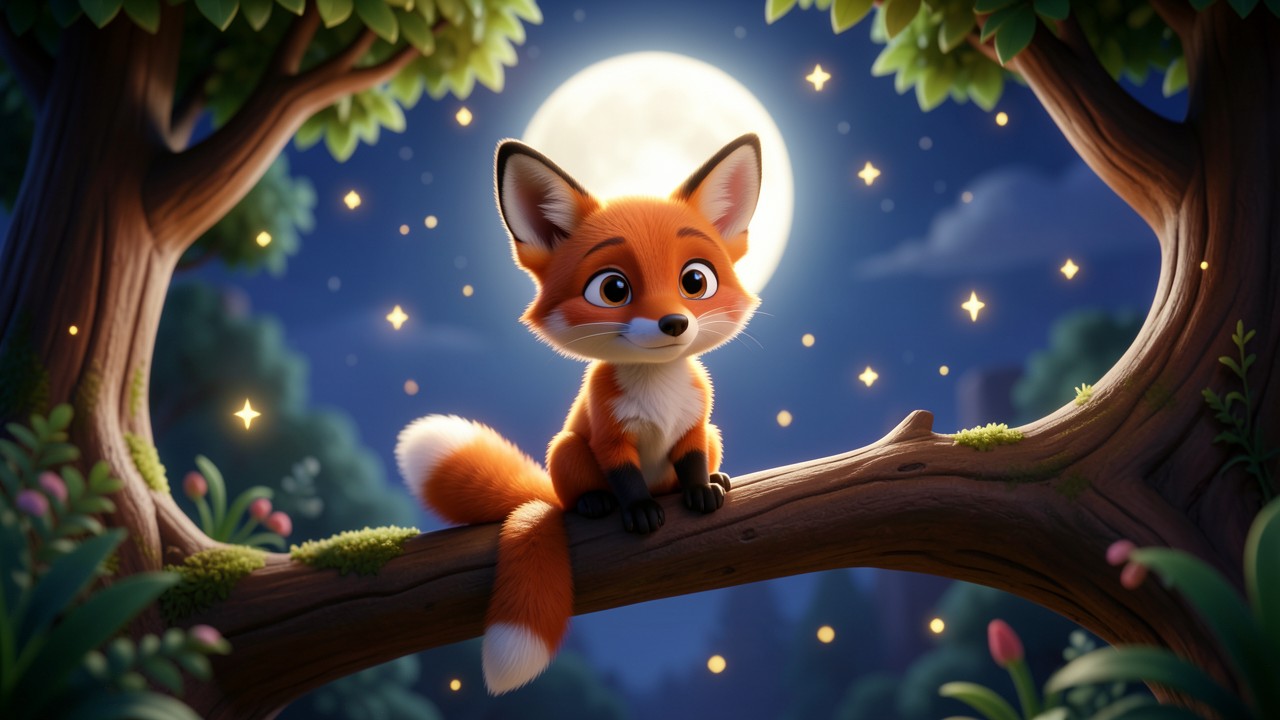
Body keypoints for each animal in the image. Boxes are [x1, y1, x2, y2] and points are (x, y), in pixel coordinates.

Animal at [395, 133, 762, 695]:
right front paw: (638, 511)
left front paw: (700, 490)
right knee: (575, 492)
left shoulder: (695, 425)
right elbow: (626, 476)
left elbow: (692, 461)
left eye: (695, 281)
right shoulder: (609, 435)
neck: (657, 390)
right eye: (612, 289)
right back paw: (593, 503)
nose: (674, 323)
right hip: (566, 450)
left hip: (715, 433)